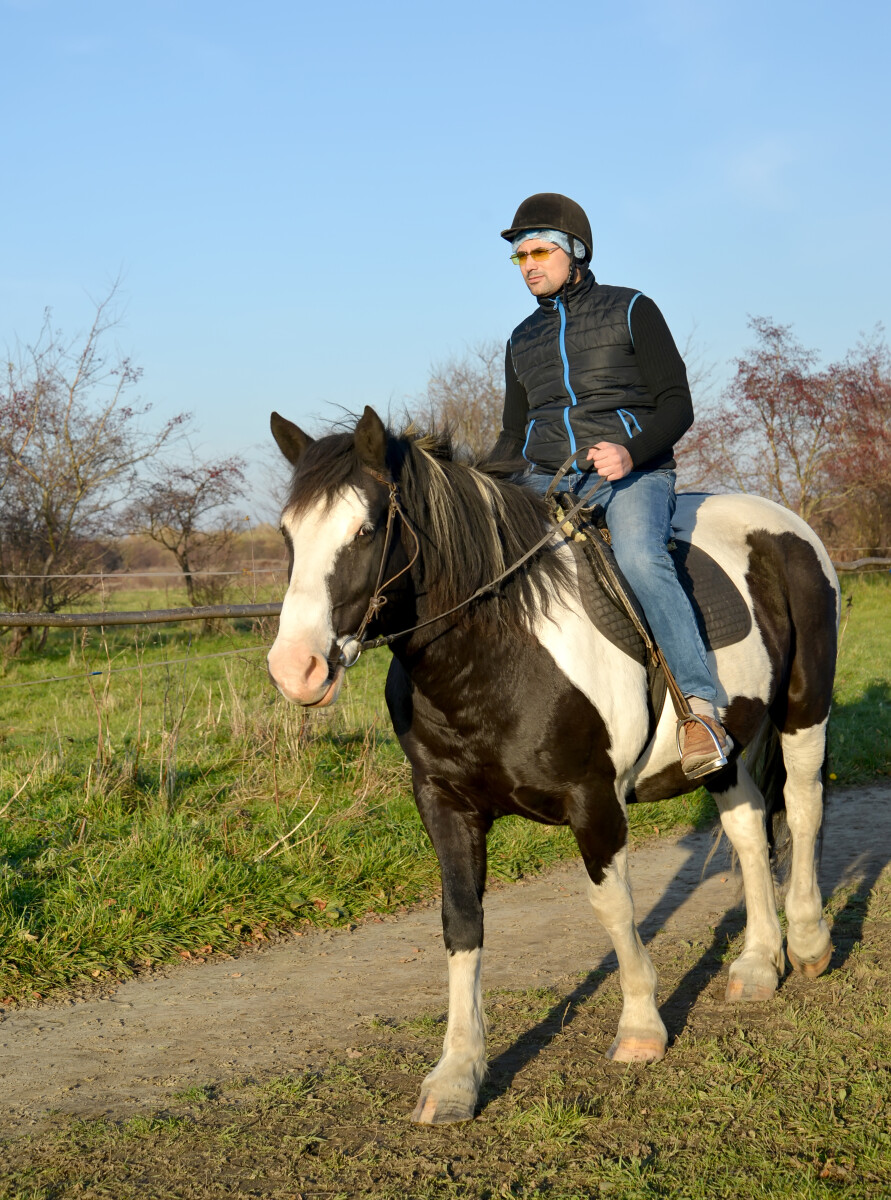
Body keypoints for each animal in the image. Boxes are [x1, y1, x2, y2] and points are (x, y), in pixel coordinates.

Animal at [268, 410, 840, 1123]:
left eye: (367, 528)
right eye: (287, 532)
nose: (296, 669)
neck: (499, 651)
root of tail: (782, 522)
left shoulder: (593, 799)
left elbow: (613, 908)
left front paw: (640, 1028)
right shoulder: (444, 803)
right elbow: (462, 921)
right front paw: (457, 1075)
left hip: (804, 709)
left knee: (807, 808)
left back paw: (809, 942)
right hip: (727, 742)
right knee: (748, 830)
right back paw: (759, 964)